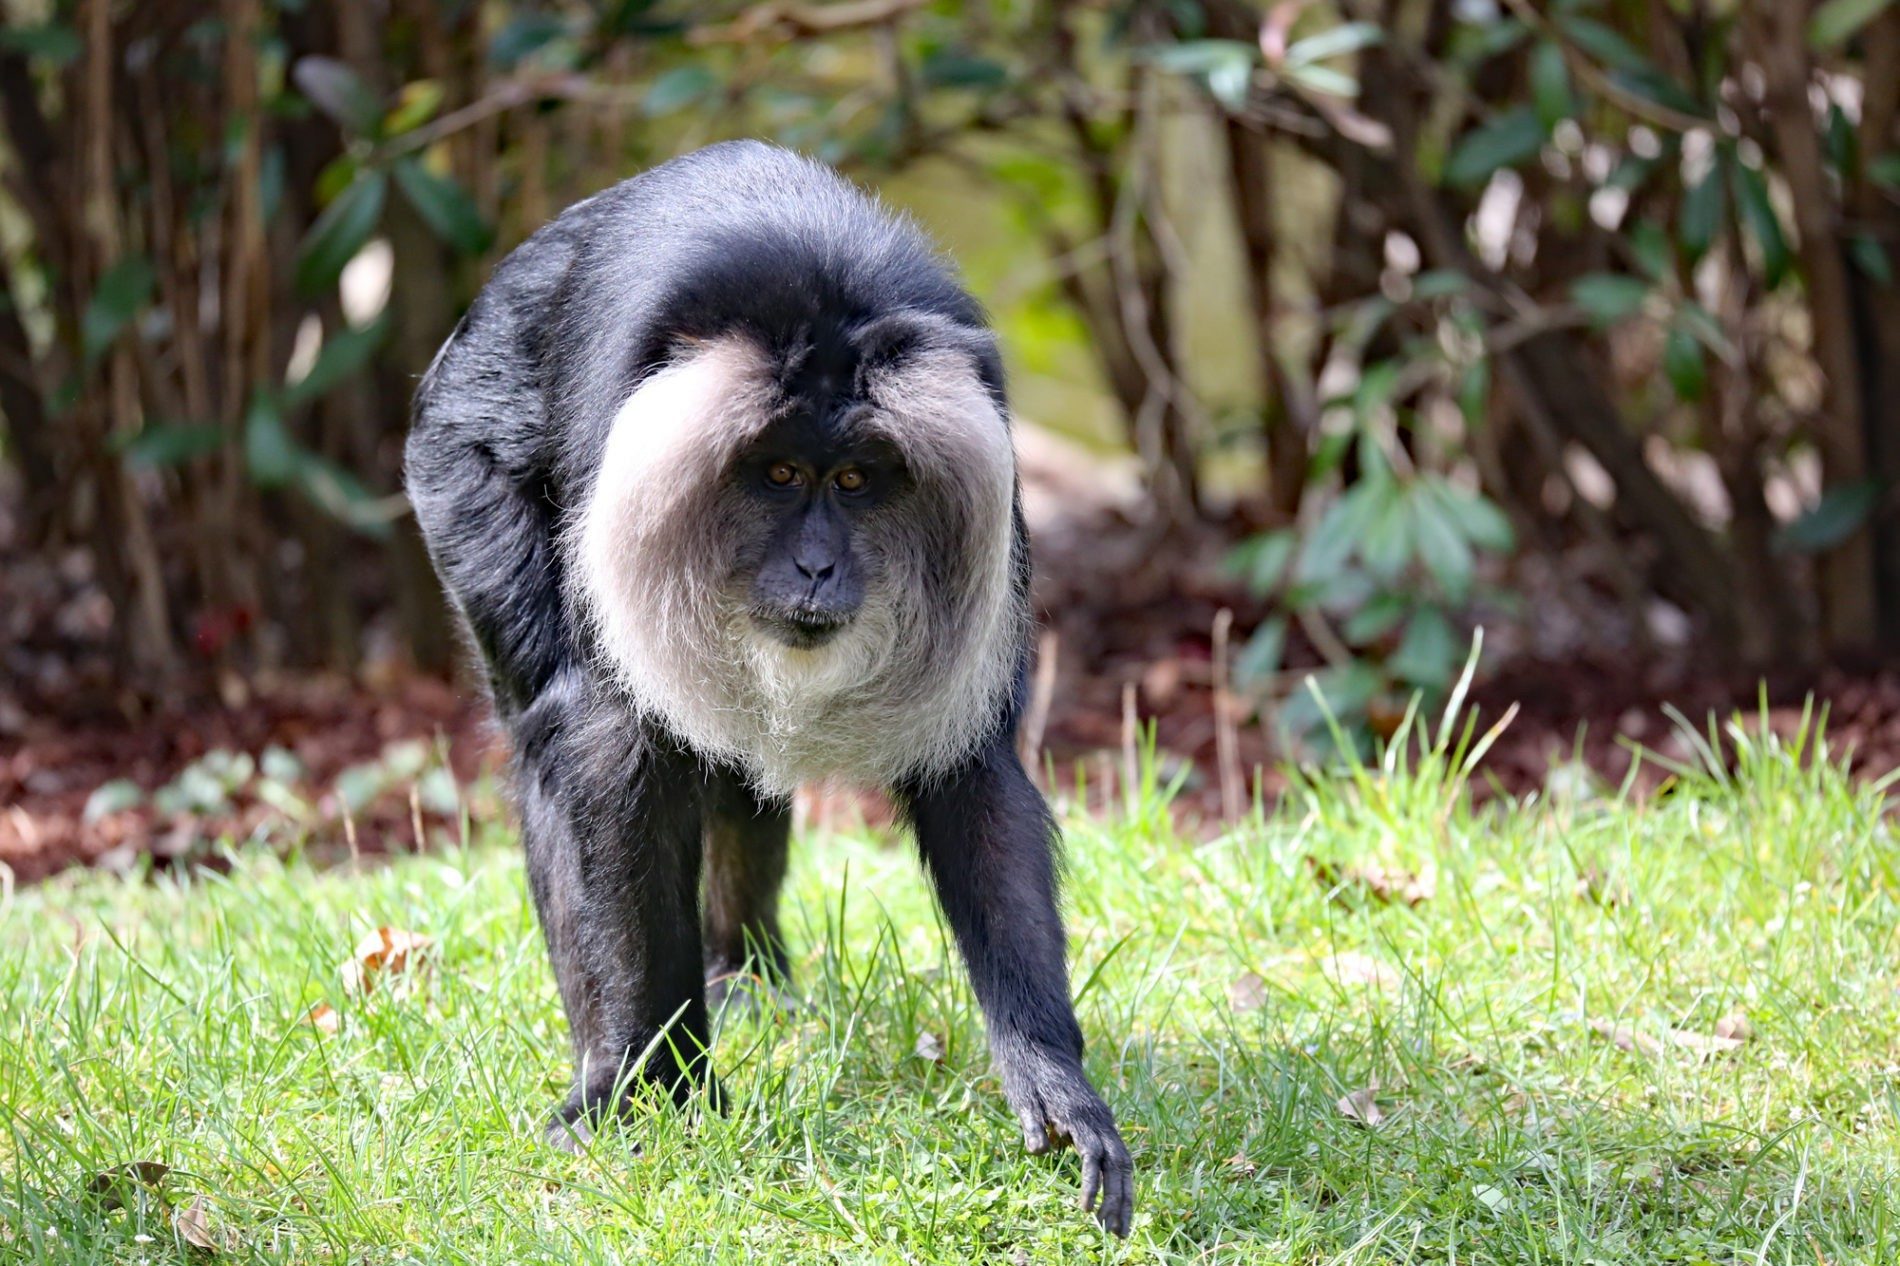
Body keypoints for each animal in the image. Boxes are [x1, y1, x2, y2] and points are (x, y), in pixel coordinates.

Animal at [404, 140, 1124, 1231]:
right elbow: (609, 762)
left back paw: (744, 979)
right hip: (456, 456)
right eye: (781, 475)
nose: (818, 567)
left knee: (735, 774)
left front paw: (1054, 1081)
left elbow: (975, 780)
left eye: (858, 480)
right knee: (551, 733)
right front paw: (644, 1084)